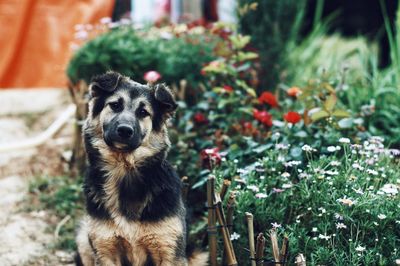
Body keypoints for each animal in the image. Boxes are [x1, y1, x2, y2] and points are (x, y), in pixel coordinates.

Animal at [75, 71, 208, 264]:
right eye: (115, 105)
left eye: (143, 112)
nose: (124, 130)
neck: (124, 169)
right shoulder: (105, 250)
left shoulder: (169, 251)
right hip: (83, 239)